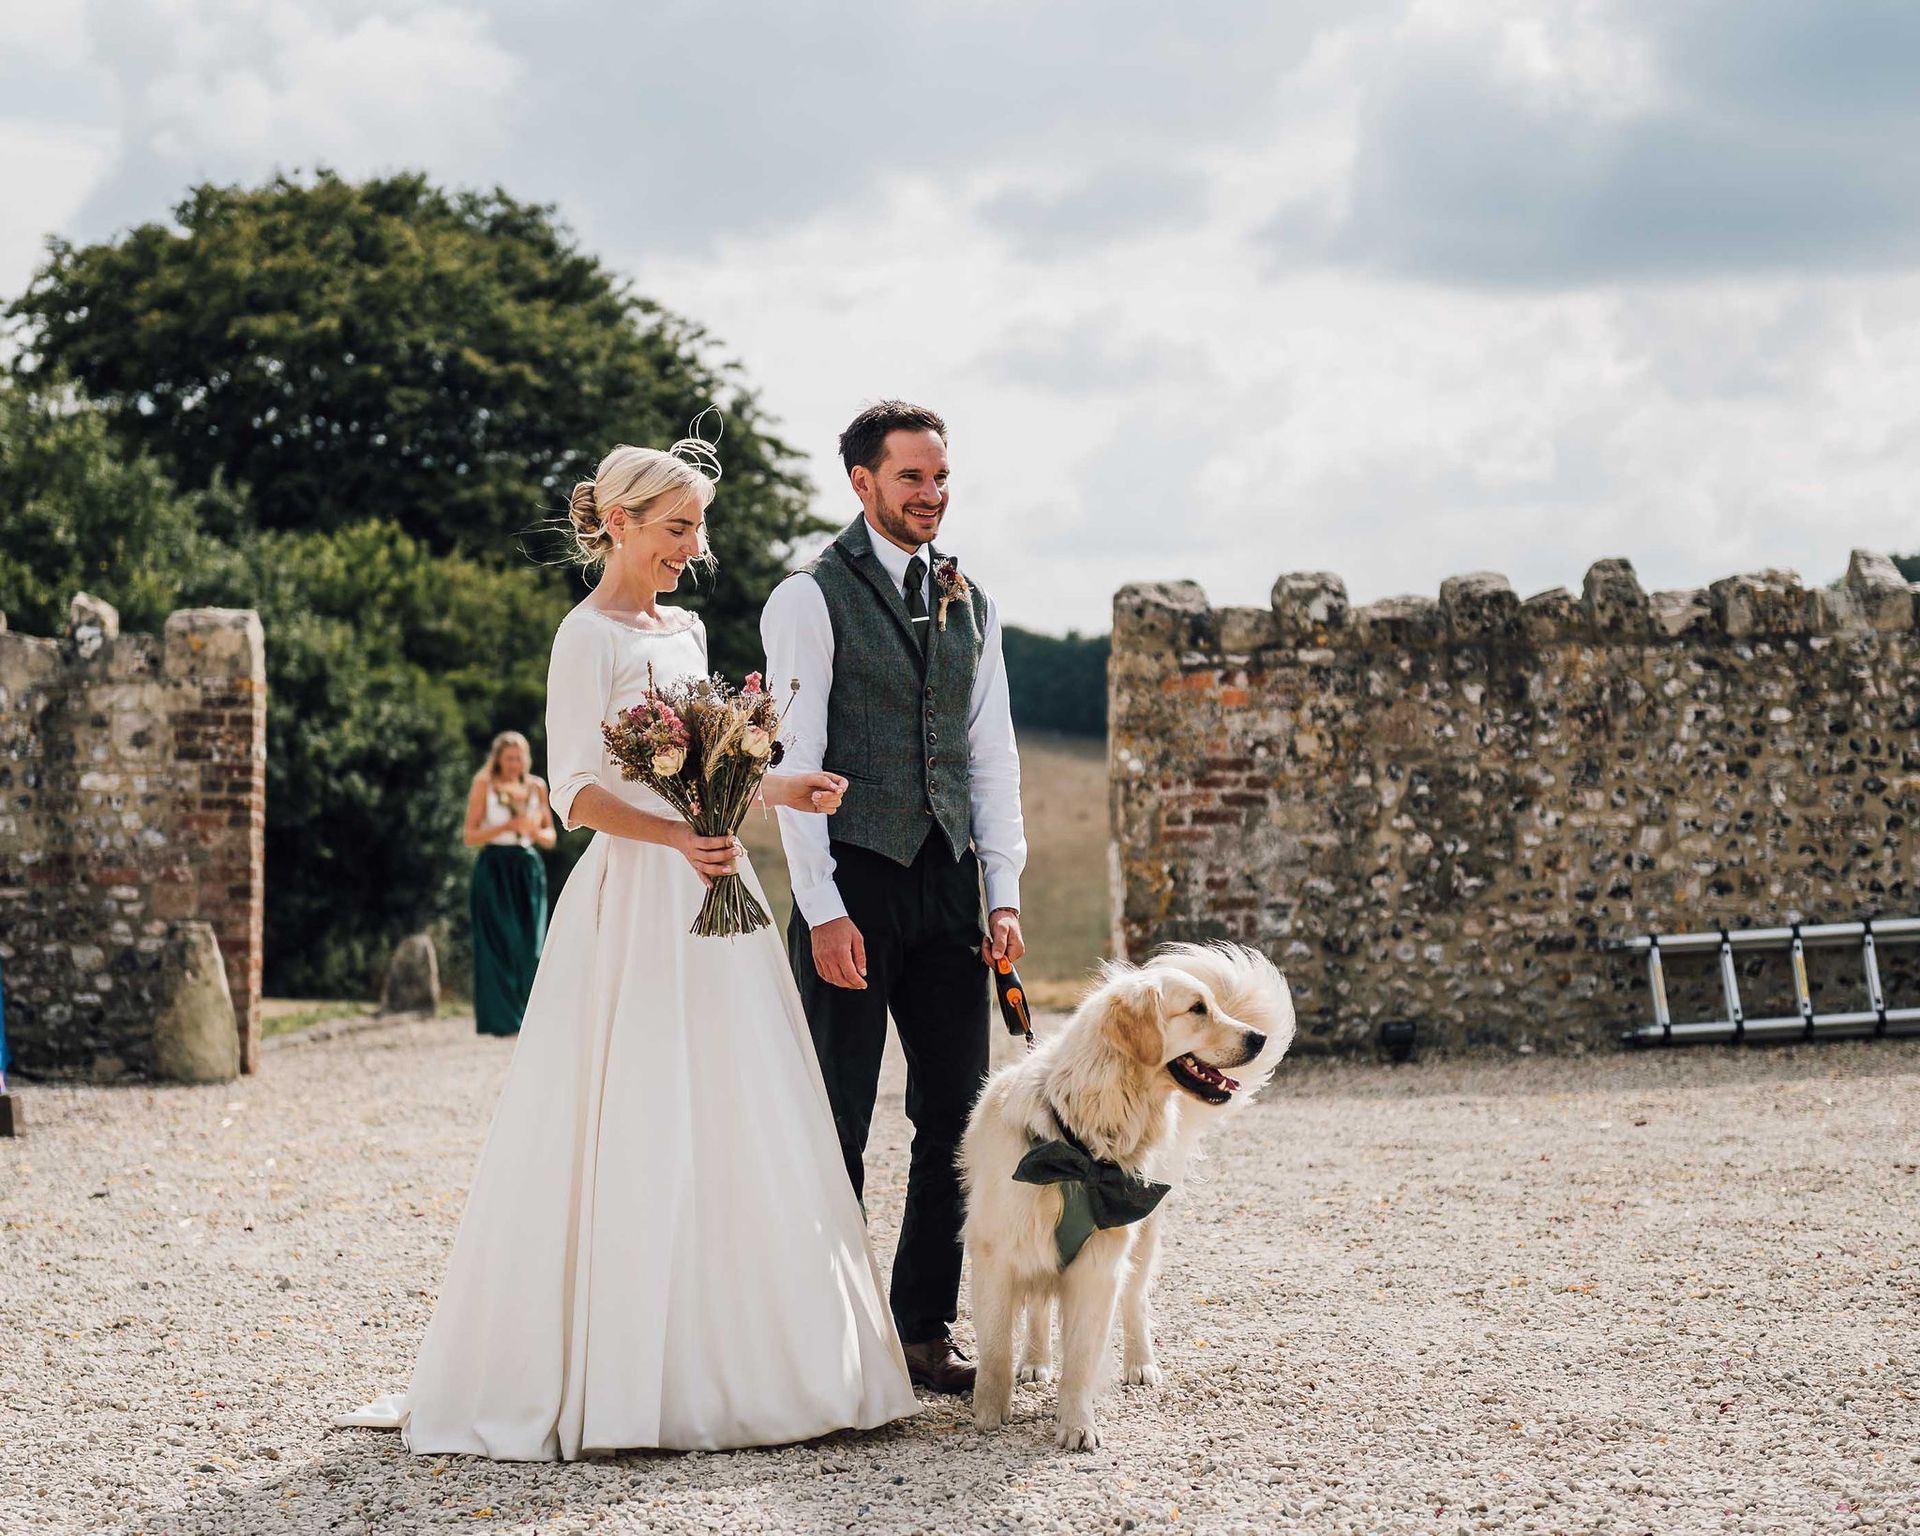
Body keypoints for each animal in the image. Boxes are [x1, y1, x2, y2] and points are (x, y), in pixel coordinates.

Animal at [960, 942, 1294, 1449]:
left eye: (1213, 1005)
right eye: (1198, 1009)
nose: (1258, 1037)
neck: (1078, 1143)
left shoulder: (1100, 1265)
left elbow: (1081, 1361)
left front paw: (1077, 1426)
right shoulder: (997, 1253)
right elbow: (996, 1346)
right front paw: (988, 1415)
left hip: (1143, 1240)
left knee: (1135, 1303)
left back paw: (1140, 1365)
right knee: (1038, 1307)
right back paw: (1035, 1361)